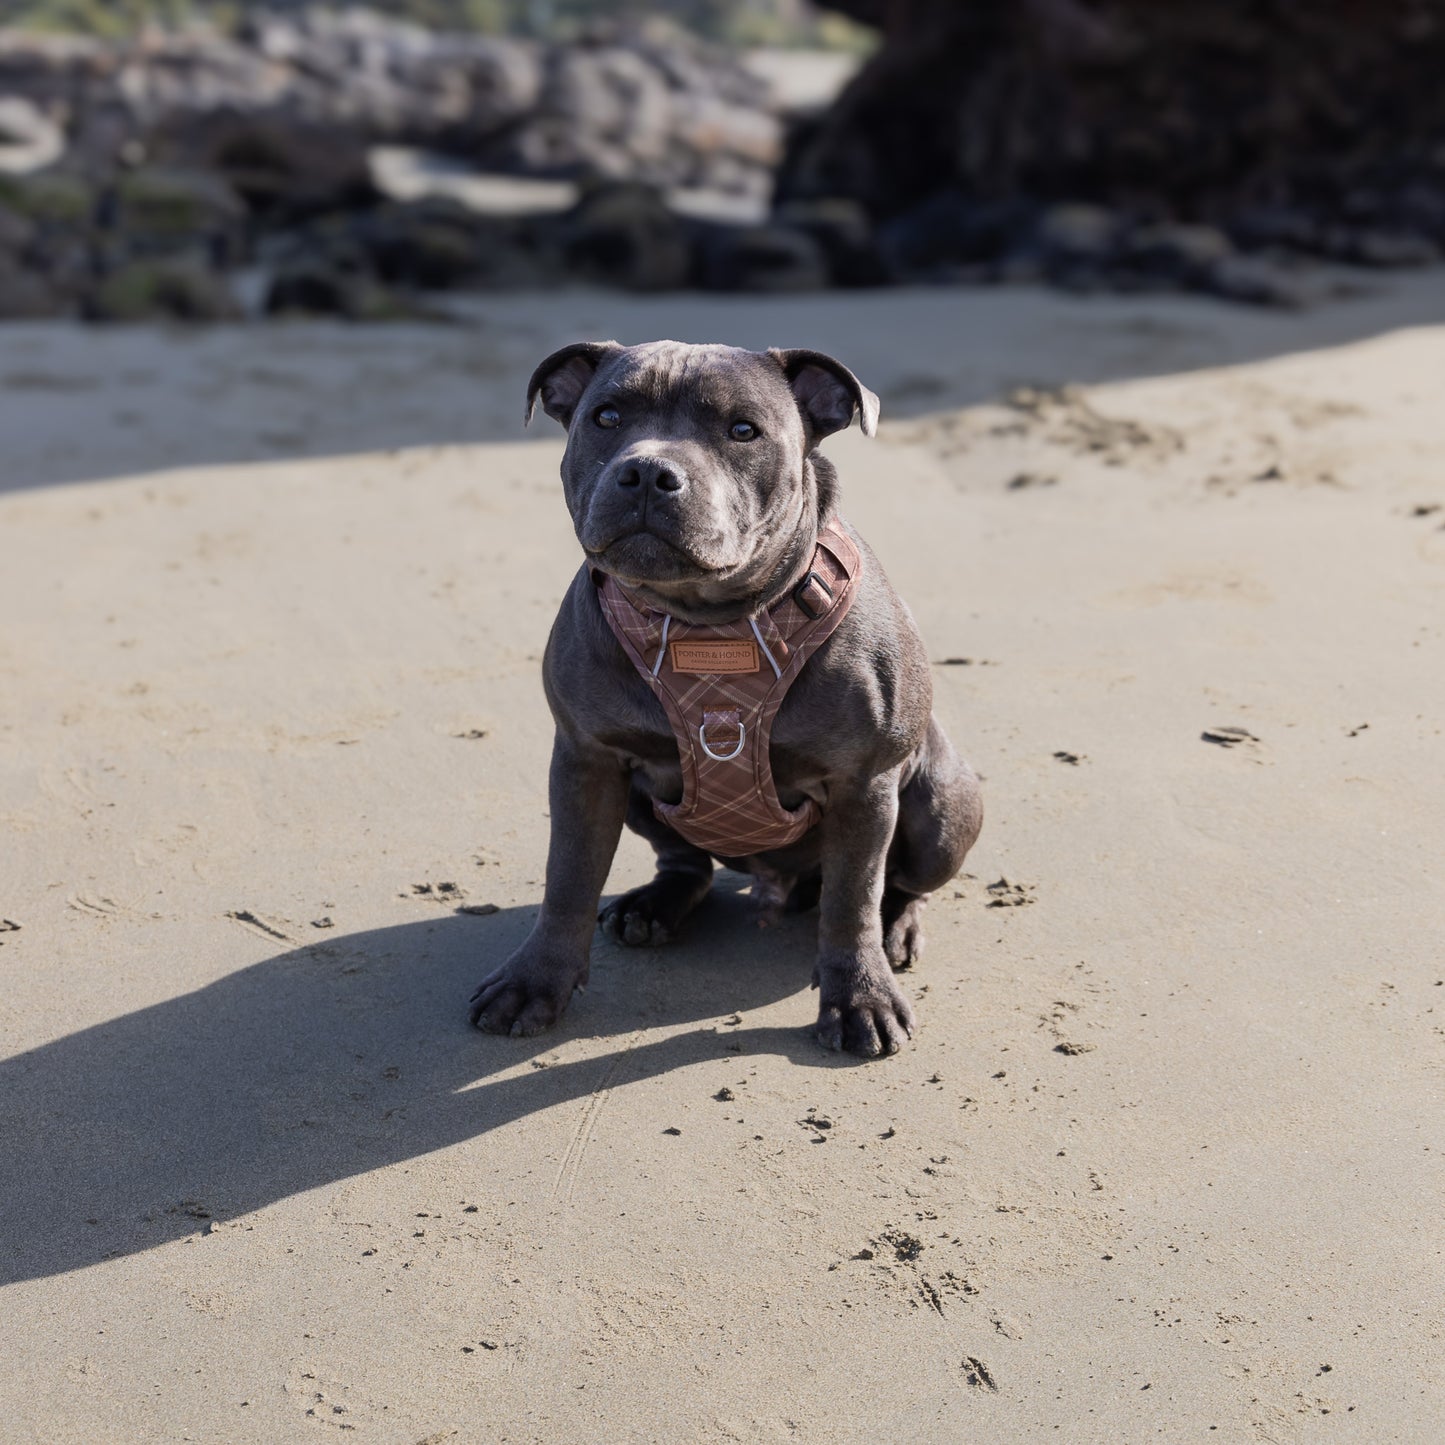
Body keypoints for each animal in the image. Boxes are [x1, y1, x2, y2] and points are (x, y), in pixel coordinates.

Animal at [471, 343, 982, 1057]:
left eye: (743, 430)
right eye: (606, 416)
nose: (647, 472)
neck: (705, 622)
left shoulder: (864, 783)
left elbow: (852, 899)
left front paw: (860, 998)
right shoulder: (585, 762)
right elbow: (566, 878)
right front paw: (534, 982)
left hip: (941, 809)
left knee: (900, 882)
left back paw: (897, 928)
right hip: (641, 798)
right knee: (687, 862)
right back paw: (654, 906)